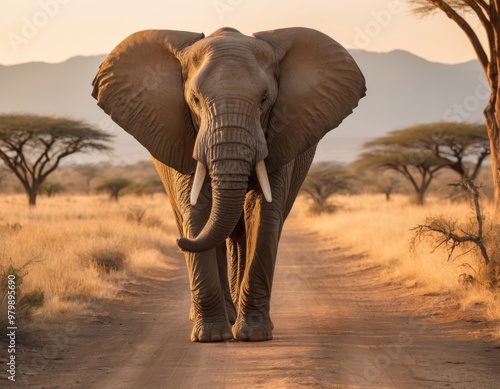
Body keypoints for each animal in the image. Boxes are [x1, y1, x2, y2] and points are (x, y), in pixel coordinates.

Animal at [91, 26, 364, 340]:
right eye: (195, 100)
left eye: (264, 100)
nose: (179, 242)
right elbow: (198, 209)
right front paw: (210, 337)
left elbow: (263, 213)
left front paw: (254, 335)